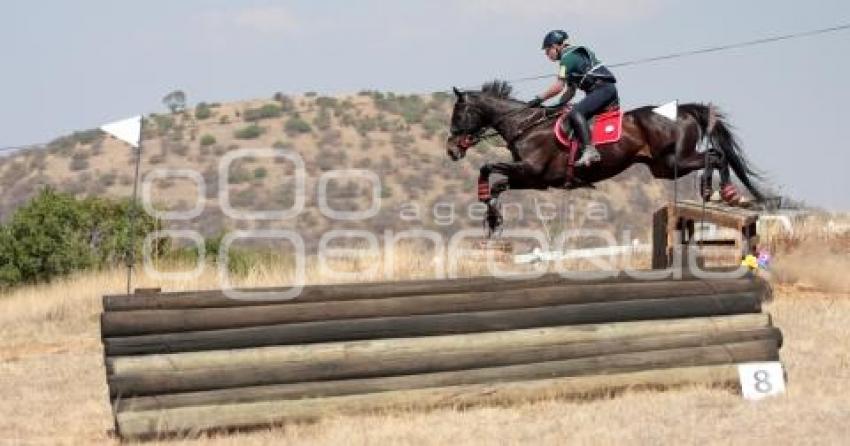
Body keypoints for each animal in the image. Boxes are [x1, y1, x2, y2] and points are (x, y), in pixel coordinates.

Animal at [444, 80, 760, 233]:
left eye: (459, 114)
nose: (451, 149)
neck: (525, 125)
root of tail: (682, 110)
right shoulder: (534, 179)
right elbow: (499, 185)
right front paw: (492, 216)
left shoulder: (531, 169)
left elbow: (487, 167)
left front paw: (484, 196)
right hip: (662, 166)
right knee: (715, 155)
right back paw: (720, 193)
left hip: (675, 160)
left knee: (715, 156)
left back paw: (723, 192)